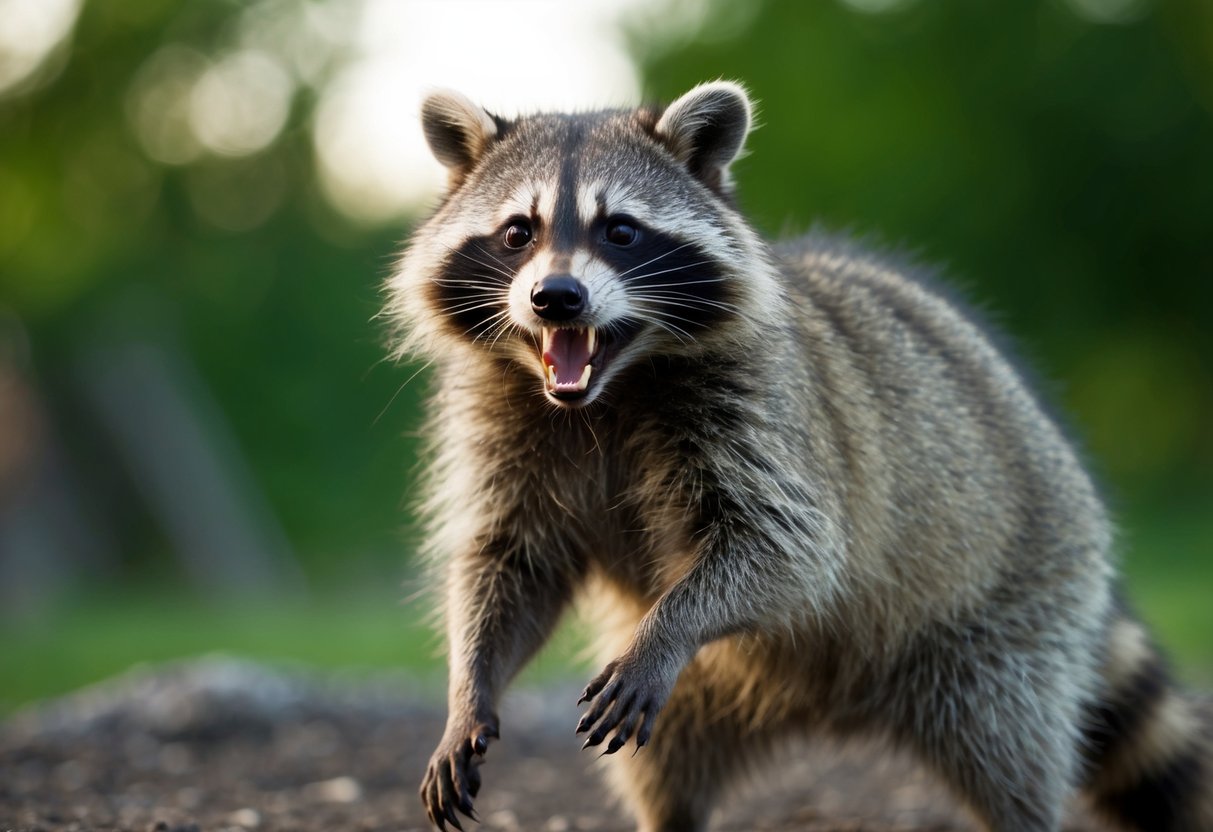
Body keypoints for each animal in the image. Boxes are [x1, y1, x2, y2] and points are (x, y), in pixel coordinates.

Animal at [387, 82, 1213, 832]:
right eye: (517, 233)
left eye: (619, 231)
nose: (555, 298)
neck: (608, 390)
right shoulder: (502, 426)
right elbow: (509, 564)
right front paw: (470, 689)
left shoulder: (766, 414)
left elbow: (789, 548)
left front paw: (668, 629)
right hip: (705, 690)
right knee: (666, 764)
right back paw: (670, 817)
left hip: (1012, 607)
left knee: (1008, 738)